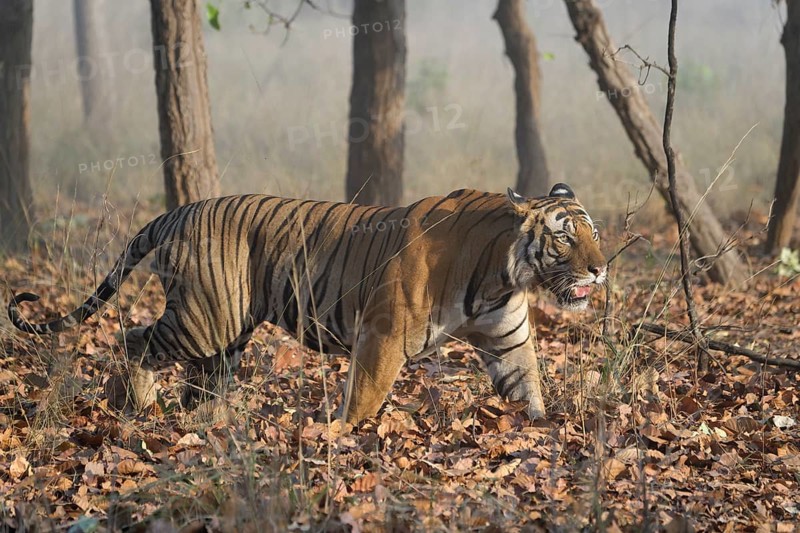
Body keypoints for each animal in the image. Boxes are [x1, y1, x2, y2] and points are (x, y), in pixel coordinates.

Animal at [7, 184, 606, 423]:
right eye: (565, 238)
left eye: (594, 234)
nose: (601, 269)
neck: (503, 274)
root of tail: (178, 210)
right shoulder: (382, 334)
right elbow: (364, 397)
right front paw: (342, 436)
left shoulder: (508, 340)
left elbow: (529, 390)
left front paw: (543, 431)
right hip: (202, 320)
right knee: (130, 339)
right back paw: (136, 406)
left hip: (226, 331)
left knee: (199, 382)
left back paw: (205, 422)